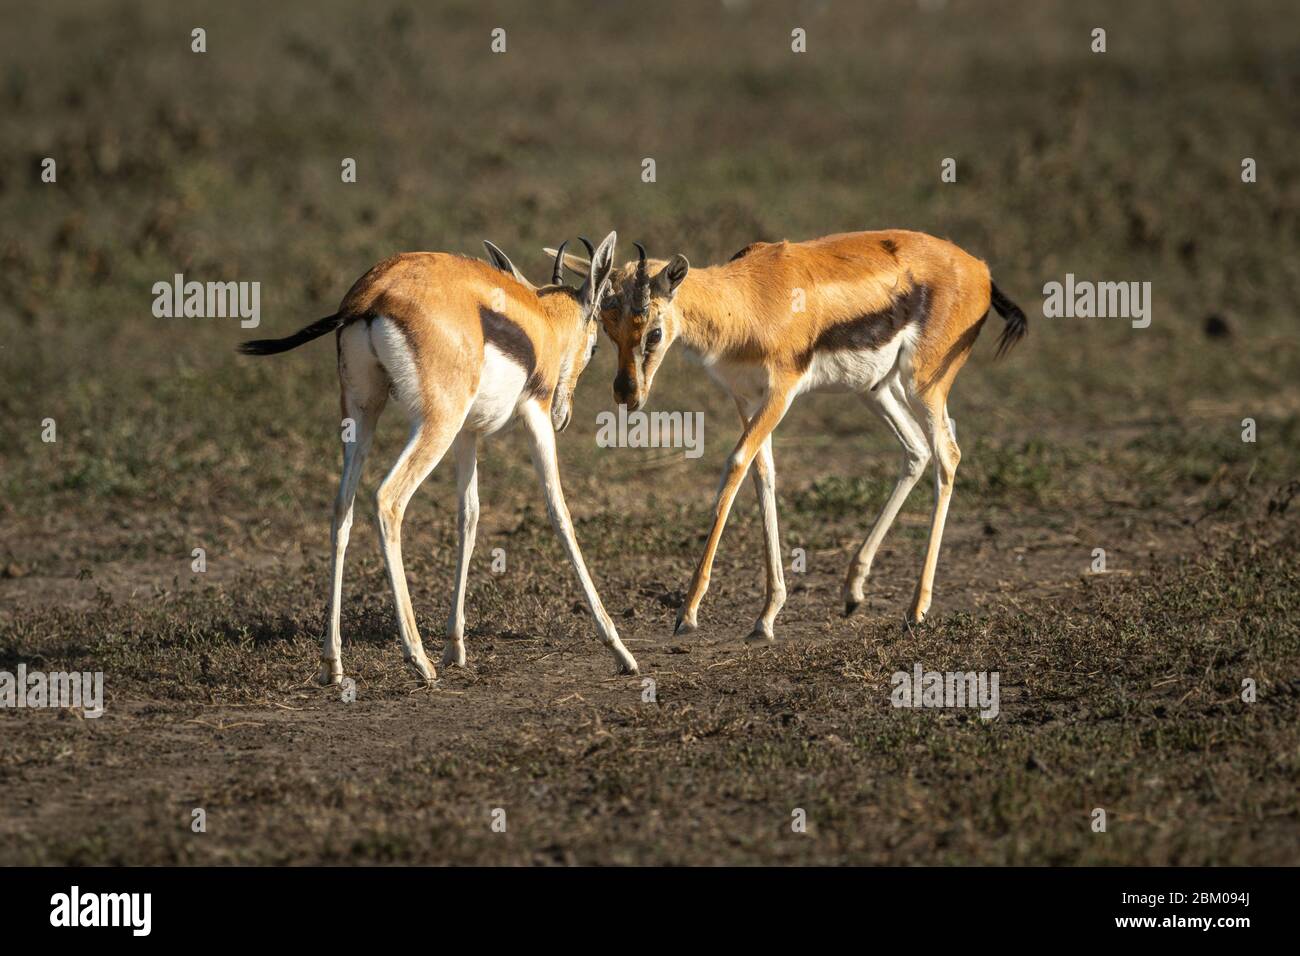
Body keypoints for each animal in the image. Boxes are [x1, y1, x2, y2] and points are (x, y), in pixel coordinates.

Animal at [237, 232, 638, 685]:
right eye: (595, 346)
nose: (563, 415)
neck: (540, 324)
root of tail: (372, 295)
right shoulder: (533, 416)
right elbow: (560, 513)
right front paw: (619, 649)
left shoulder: (468, 433)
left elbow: (469, 516)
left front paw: (455, 648)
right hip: (435, 424)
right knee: (387, 500)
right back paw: (418, 659)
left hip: (363, 414)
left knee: (342, 508)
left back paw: (332, 665)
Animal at [548, 230, 1027, 642]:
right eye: (607, 328)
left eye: (653, 330)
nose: (627, 394)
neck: (746, 302)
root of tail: (980, 269)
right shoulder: (746, 397)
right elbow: (763, 475)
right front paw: (767, 615)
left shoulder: (782, 393)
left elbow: (736, 465)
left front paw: (688, 613)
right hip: (875, 388)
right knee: (916, 450)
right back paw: (854, 591)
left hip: (924, 386)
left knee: (948, 454)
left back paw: (916, 609)